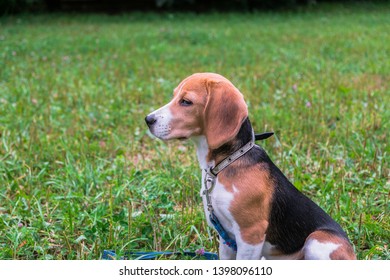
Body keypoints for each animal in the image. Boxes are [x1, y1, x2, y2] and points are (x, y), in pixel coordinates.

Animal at [144, 72, 356, 260]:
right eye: (174, 96)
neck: (227, 162)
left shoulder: (250, 235)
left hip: (317, 241)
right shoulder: (226, 238)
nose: (148, 120)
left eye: (186, 101)